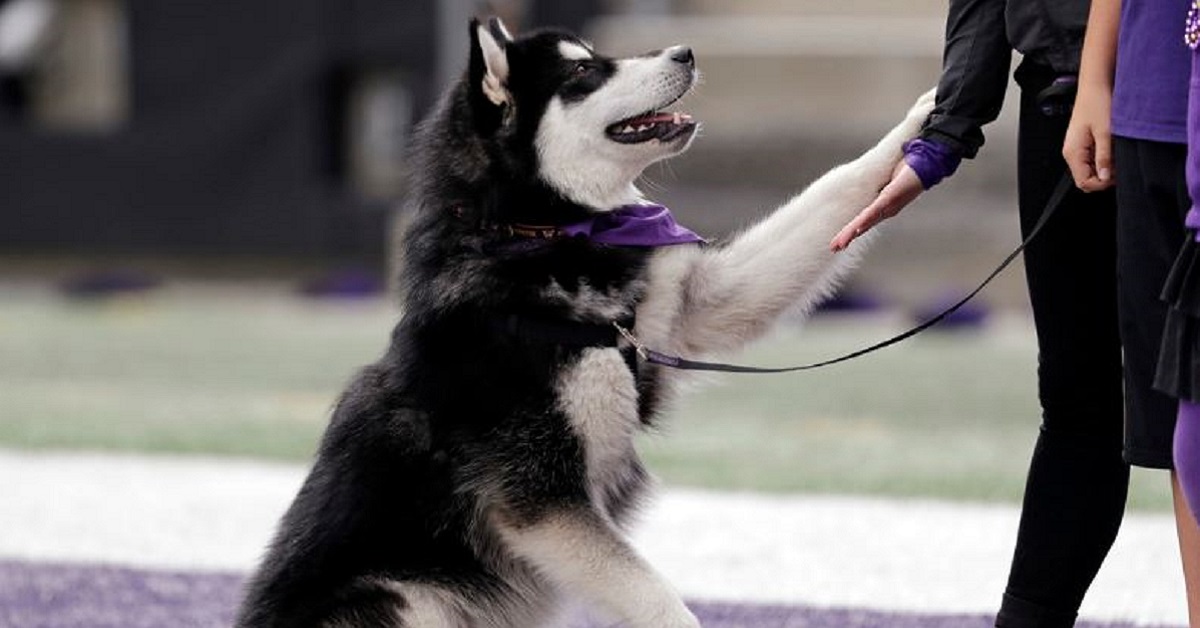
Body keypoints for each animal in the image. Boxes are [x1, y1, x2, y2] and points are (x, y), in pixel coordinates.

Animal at [236, 15, 936, 628]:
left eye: (597, 56)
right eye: (584, 72)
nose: (686, 51)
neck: (544, 233)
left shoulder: (698, 305)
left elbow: (836, 186)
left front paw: (923, 118)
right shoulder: (539, 501)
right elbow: (662, 604)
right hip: (407, 599)